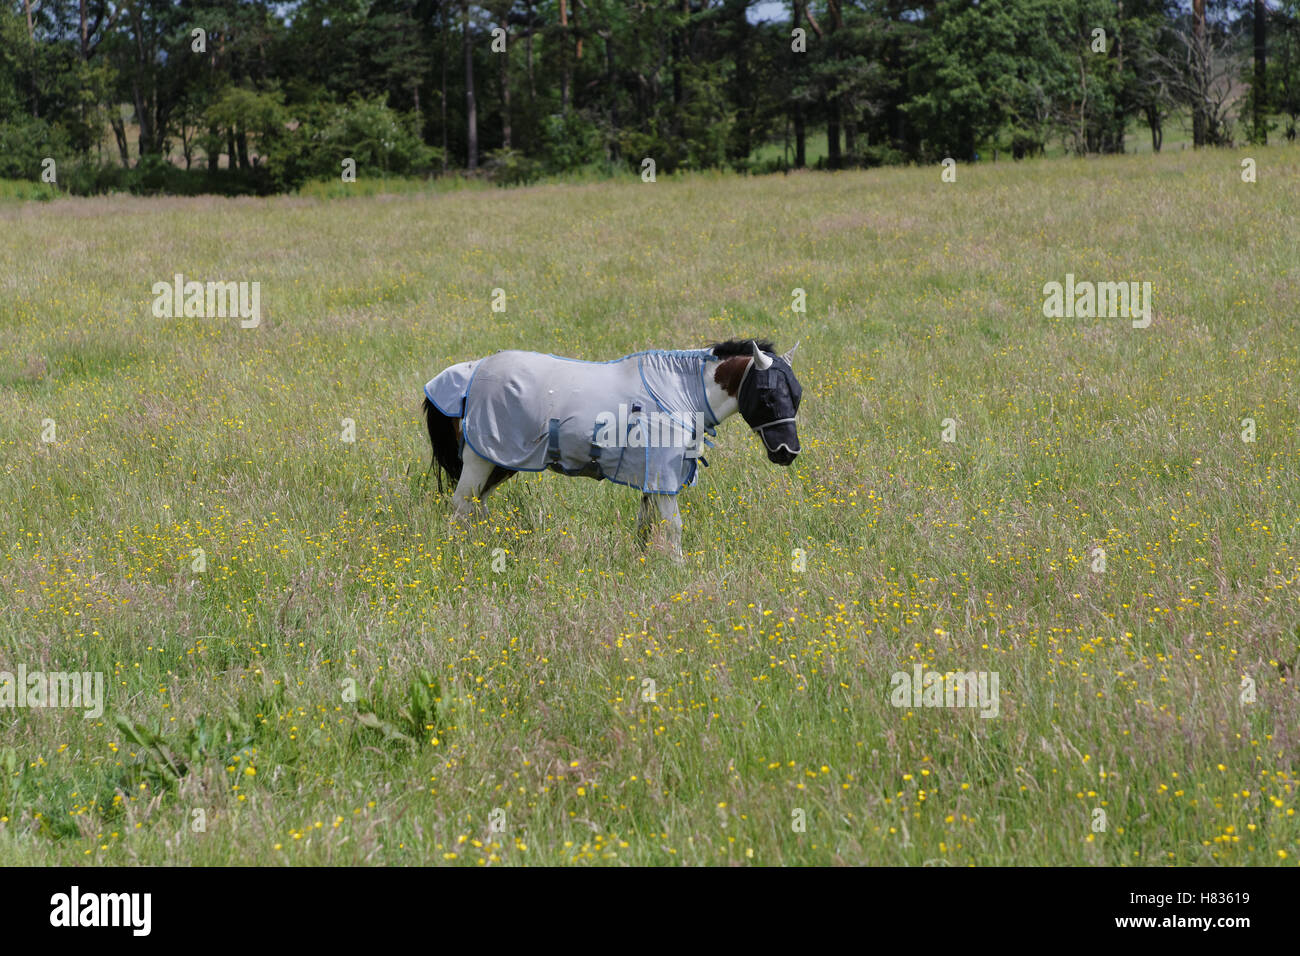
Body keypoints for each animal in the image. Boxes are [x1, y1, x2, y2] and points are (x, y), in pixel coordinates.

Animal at [421, 338, 795, 556]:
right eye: (767, 395)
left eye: (796, 394)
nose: (787, 452)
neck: (680, 392)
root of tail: (471, 370)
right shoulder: (663, 477)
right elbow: (672, 527)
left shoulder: (651, 477)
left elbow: (646, 525)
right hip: (481, 459)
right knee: (461, 506)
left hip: (500, 461)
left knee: (476, 506)